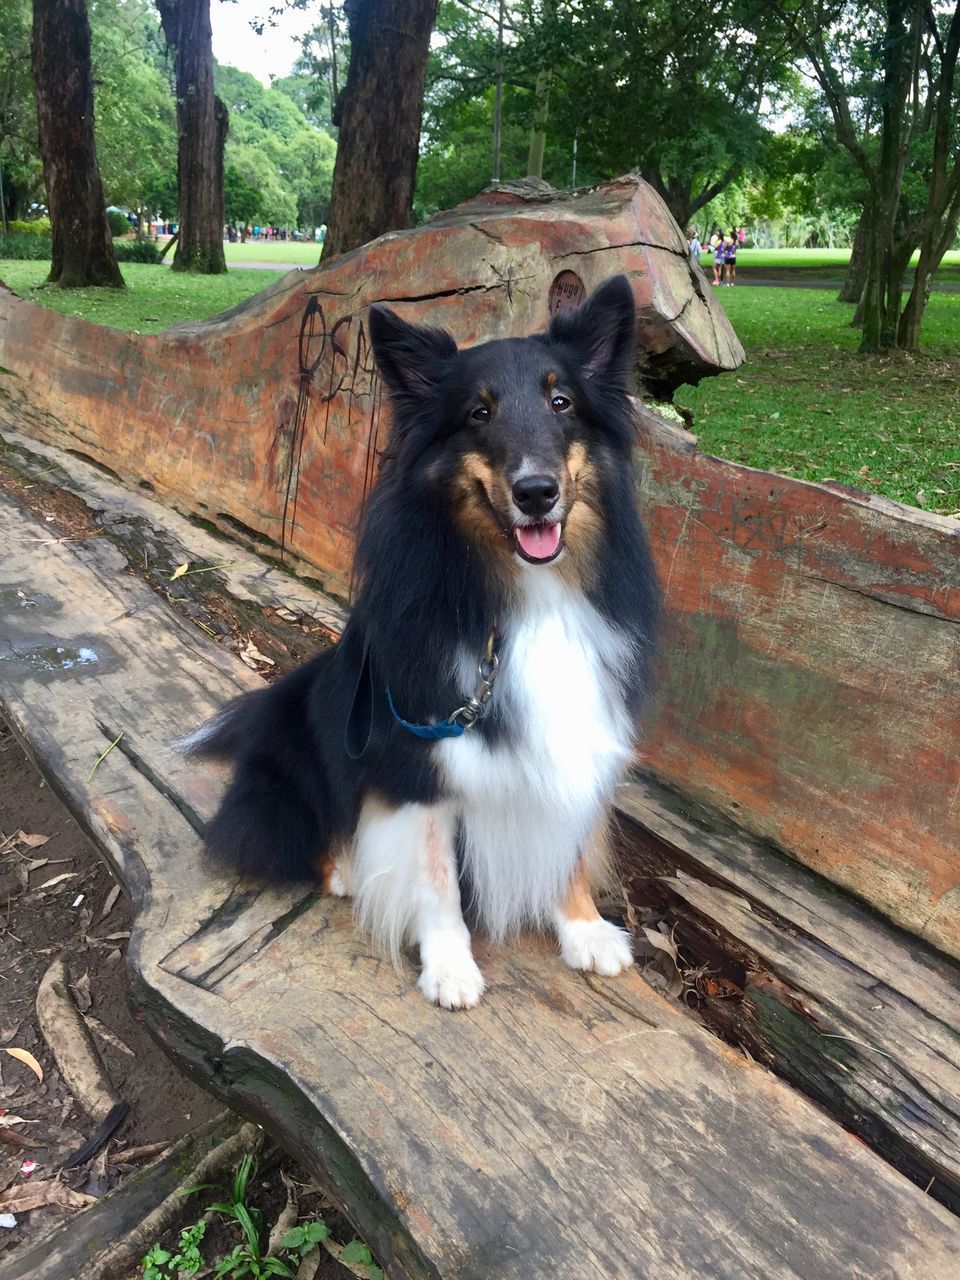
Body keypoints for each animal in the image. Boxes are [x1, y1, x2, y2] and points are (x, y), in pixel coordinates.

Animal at [181, 272, 660, 1008]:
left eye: (562, 402)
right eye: (478, 413)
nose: (537, 493)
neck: (525, 593)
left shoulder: (579, 733)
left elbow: (570, 846)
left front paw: (582, 928)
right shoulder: (418, 765)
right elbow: (434, 882)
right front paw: (450, 966)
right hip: (295, 767)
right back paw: (347, 868)